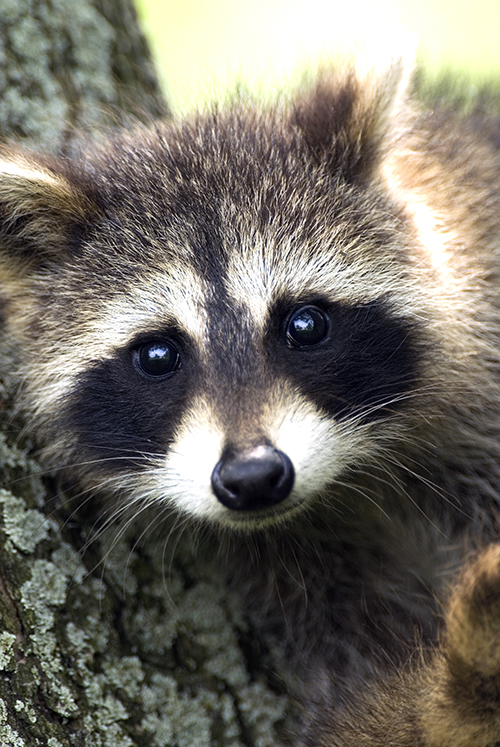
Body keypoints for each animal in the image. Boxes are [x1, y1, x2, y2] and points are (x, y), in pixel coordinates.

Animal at [0, 60, 500, 747]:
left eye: (306, 324)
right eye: (157, 355)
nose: (254, 476)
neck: (355, 473)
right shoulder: (307, 574)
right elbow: (366, 701)